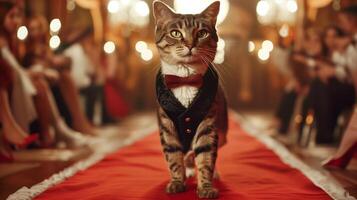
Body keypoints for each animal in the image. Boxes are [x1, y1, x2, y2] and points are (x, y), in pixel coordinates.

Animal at [152, 1, 227, 198]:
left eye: (202, 33)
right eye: (175, 33)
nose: (190, 45)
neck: (185, 79)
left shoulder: (208, 123)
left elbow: (206, 157)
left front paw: (206, 187)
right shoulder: (167, 126)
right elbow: (173, 157)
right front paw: (177, 182)